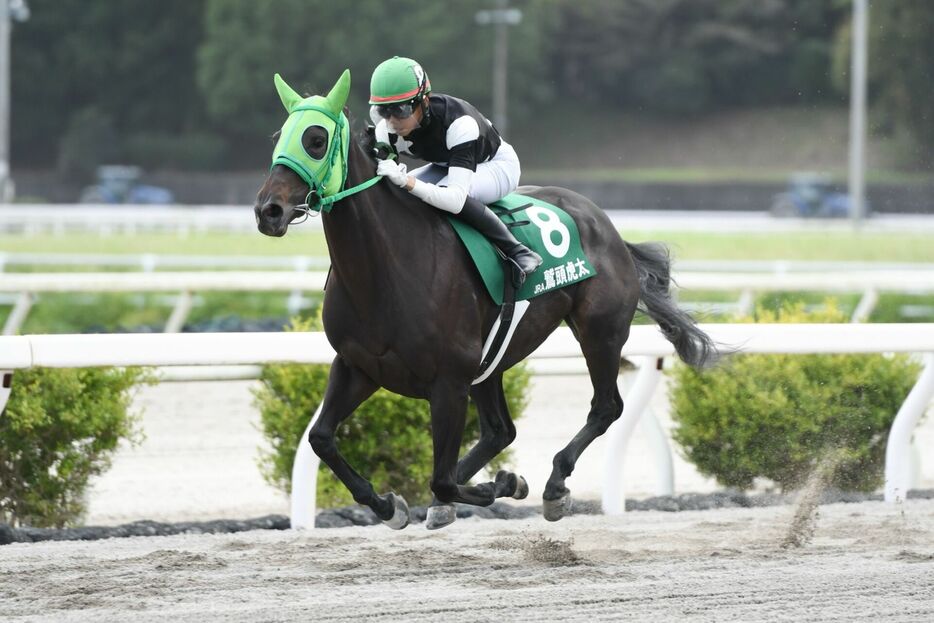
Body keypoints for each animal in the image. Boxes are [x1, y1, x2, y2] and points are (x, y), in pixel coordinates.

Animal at [254, 72, 716, 532]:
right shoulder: (358, 366)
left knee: (605, 408)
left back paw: (554, 485)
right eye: (278, 136)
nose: (267, 211)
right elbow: (321, 439)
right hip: (491, 357)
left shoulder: (449, 382)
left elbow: (441, 478)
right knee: (499, 431)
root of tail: (607, 226)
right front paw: (388, 505)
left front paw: (505, 484)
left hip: (599, 331)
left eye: (316, 139)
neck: (385, 270)